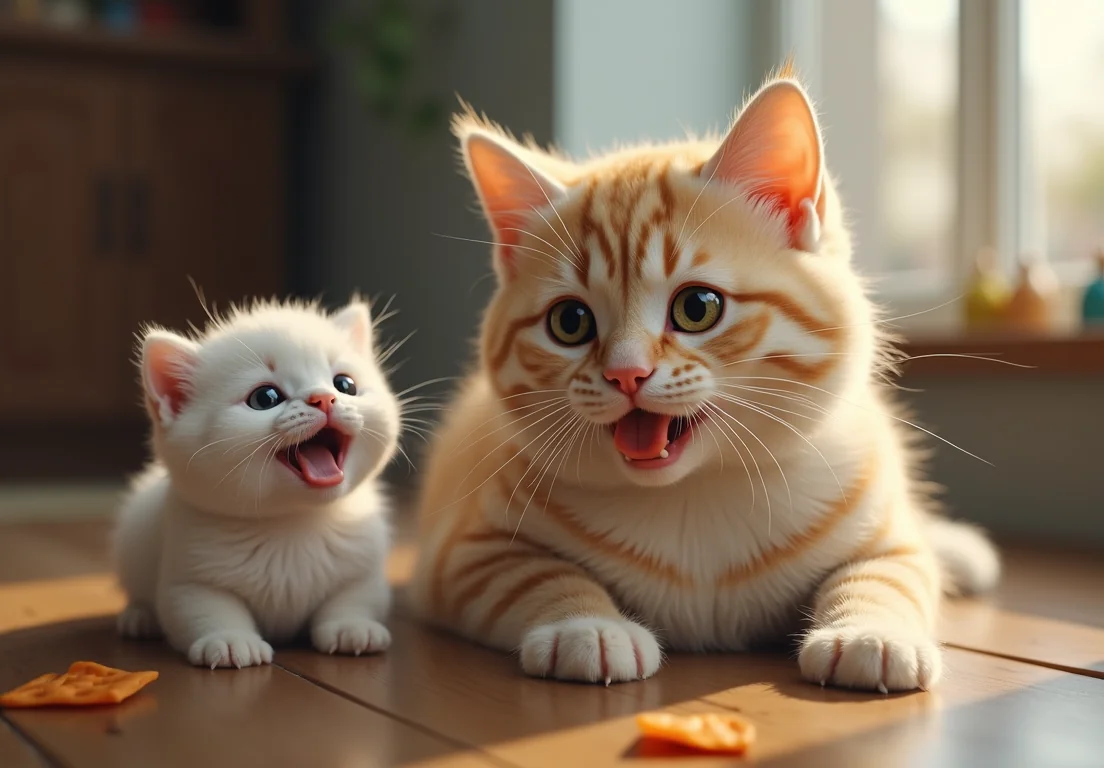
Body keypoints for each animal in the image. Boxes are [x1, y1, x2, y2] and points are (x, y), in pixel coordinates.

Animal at [112, 297, 404, 670]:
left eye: (345, 385)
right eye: (265, 398)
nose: (324, 398)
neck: (292, 523)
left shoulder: (363, 567)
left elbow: (356, 595)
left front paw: (352, 626)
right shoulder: (189, 575)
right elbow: (204, 607)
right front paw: (229, 640)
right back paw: (139, 617)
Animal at [410, 71, 1006, 692]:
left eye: (697, 307)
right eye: (569, 322)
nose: (626, 372)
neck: (693, 495)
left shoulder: (885, 534)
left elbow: (886, 575)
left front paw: (870, 633)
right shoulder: (462, 554)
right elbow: (535, 576)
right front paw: (587, 627)